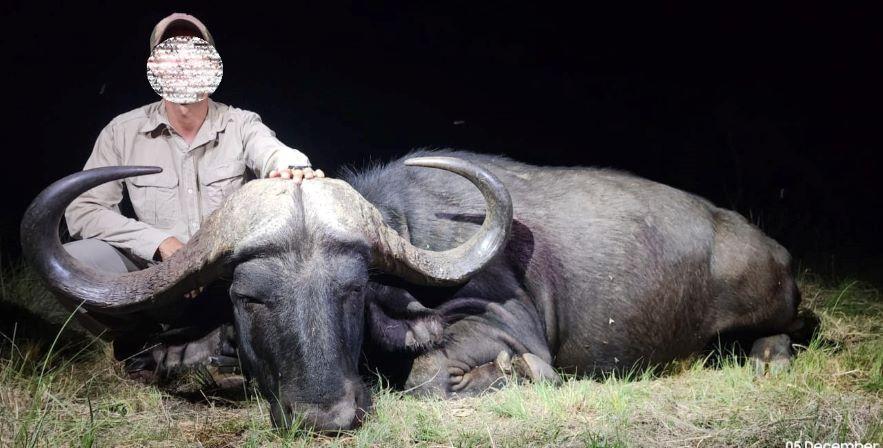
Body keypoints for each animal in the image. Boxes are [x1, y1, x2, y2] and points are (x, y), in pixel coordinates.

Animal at [22, 150, 810, 431]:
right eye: (249, 298)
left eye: (351, 290)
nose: (329, 417)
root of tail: (765, 243)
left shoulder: (504, 329)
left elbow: (443, 375)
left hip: (767, 304)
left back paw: (767, 357)